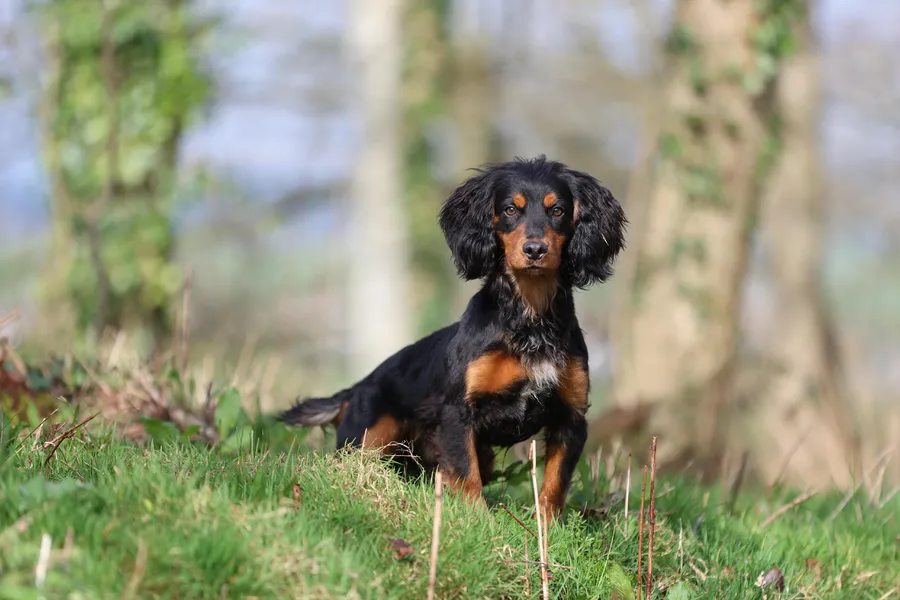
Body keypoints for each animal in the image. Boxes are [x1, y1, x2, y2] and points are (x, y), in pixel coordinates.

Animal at [278, 156, 626, 520]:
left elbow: (555, 483)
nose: (534, 249)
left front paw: (547, 525)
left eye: (557, 210)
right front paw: (476, 519)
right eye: (510, 209)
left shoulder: (570, 417)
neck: (529, 319)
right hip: (367, 437)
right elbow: (465, 471)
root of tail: (355, 388)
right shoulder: (458, 412)